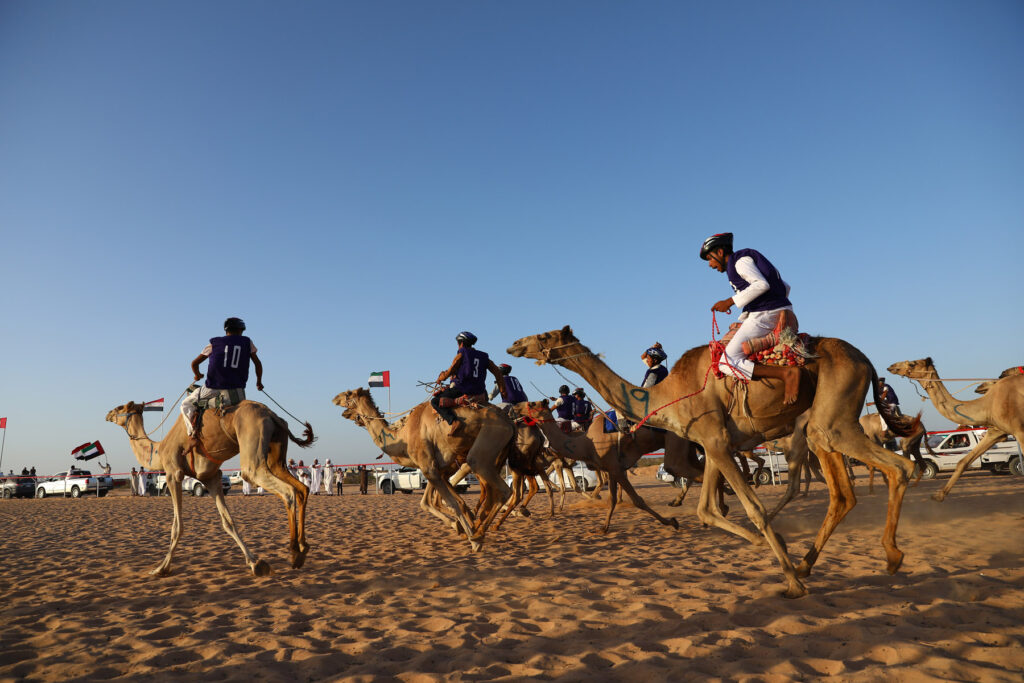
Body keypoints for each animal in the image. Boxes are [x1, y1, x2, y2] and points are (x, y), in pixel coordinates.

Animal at [104, 401, 313, 577]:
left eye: (121, 407)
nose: (108, 414)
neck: (158, 450)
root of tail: (273, 415)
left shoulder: (173, 474)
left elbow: (176, 527)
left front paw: (160, 568)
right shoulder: (211, 478)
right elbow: (228, 522)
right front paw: (255, 562)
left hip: (253, 449)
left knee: (285, 490)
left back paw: (295, 553)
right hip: (276, 453)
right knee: (302, 488)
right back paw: (303, 549)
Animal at [333, 387, 516, 552]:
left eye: (348, 394)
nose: (335, 398)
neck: (404, 436)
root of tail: (509, 422)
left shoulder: (429, 466)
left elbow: (450, 502)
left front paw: (470, 535)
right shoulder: (434, 469)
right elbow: (431, 502)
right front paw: (460, 527)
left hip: (487, 443)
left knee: (503, 488)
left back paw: (479, 534)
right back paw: (480, 528)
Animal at [512, 327, 921, 598]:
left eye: (545, 336)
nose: (514, 344)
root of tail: (866, 360)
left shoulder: (714, 441)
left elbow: (752, 508)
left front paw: (789, 579)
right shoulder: (712, 443)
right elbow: (706, 509)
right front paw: (775, 549)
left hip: (831, 418)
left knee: (896, 467)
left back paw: (889, 555)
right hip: (818, 426)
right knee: (843, 491)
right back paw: (818, 560)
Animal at [884, 358, 1019, 501]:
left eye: (912, 364)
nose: (891, 366)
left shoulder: (1017, 429)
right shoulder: (996, 432)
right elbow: (963, 461)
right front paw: (938, 495)